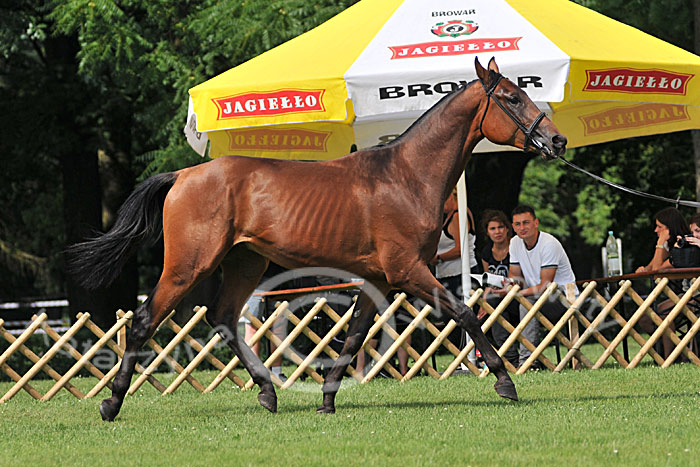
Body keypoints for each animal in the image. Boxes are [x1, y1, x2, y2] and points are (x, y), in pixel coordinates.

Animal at [67, 56, 568, 422]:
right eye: (512, 97)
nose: (557, 141)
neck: (406, 176)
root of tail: (184, 175)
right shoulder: (409, 271)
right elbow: (464, 311)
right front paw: (505, 381)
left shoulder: (378, 279)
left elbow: (354, 337)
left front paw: (327, 400)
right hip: (188, 266)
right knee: (144, 320)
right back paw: (111, 403)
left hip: (244, 263)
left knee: (224, 319)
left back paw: (268, 393)